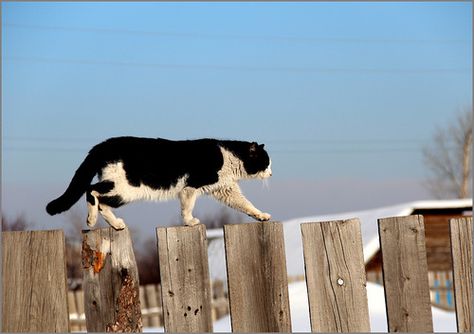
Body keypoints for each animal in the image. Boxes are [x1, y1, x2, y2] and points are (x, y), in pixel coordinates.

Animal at [47, 136, 272, 230]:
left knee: (101, 201)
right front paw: (189, 221)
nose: (271, 173)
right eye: (266, 162)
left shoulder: (226, 190)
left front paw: (261, 216)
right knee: (91, 190)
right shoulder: (190, 187)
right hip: (124, 187)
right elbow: (187, 207)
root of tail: (103, 145)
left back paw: (117, 224)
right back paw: (91, 220)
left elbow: (246, 204)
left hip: (121, 191)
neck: (231, 158)